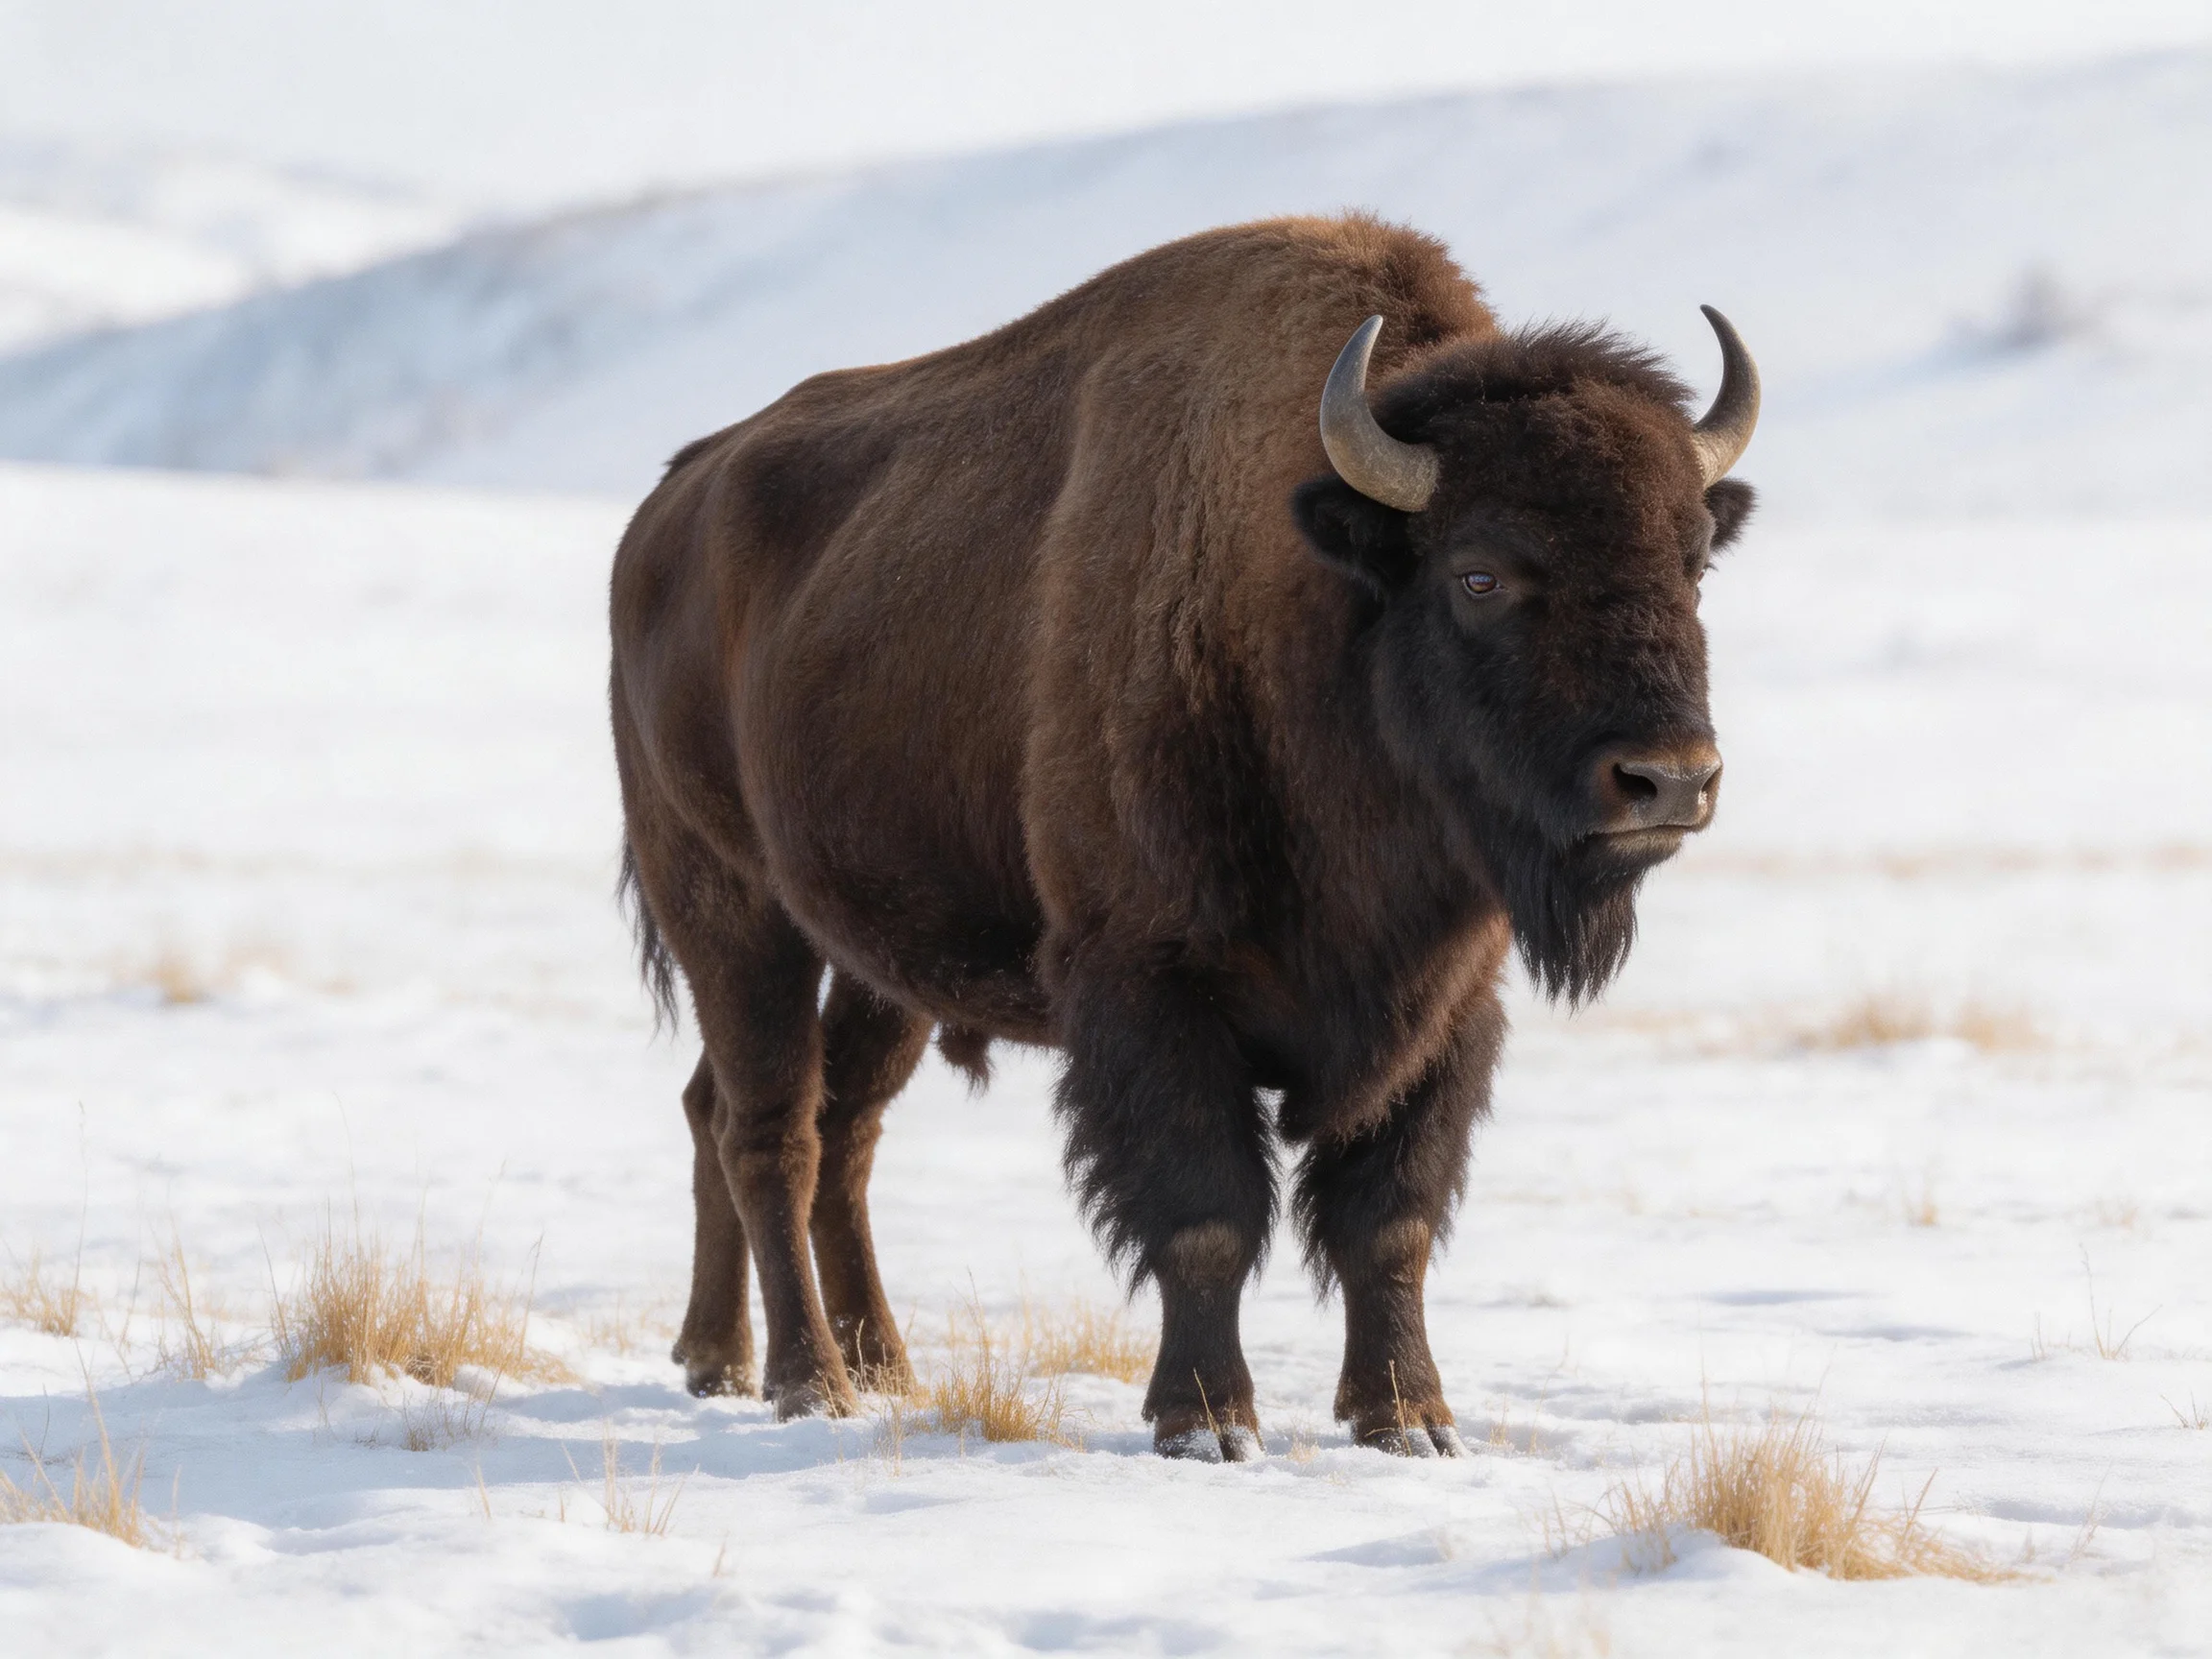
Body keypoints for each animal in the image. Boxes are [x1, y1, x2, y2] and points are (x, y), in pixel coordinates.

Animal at [609, 213, 1758, 1459]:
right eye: (1481, 573)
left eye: (1692, 562)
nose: (1669, 779)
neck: (1308, 600)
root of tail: (666, 508)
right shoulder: (1152, 987)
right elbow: (1209, 1214)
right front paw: (1207, 1422)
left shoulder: (1444, 1010)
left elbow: (1389, 1220)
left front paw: (1409, 1421)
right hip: (730, 907)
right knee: (770, 1130)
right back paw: (806, 1381)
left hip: (880, 964)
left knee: (819, 1125)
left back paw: (798, 1361)